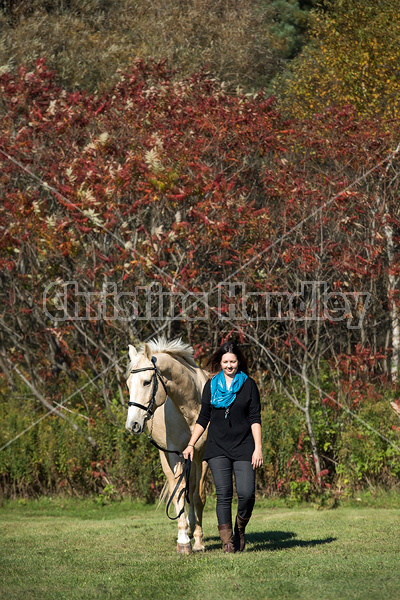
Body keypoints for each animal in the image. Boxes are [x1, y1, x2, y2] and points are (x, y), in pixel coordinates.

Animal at [126, 338, 209, 552]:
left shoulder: (202, 455)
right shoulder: (174, 454)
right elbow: (178, 493)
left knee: (191, 488)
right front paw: (184, 541)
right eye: (128, 383)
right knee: (176, 486)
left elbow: (198, 496)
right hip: (165, 456)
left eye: (147, 382)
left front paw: (198, 541)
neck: (191, 406)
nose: (132, 425)